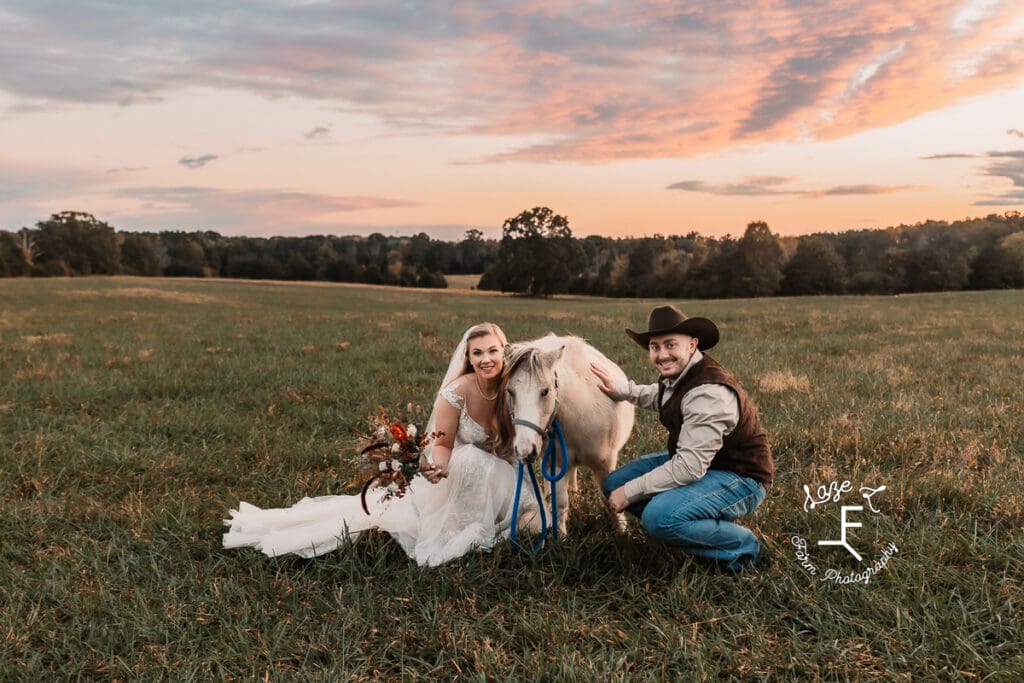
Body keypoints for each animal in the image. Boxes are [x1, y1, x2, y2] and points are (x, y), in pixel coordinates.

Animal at [501, 333, 634, 536]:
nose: (525, 450)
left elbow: (610, 499)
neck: (582, 411)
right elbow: (560, 501)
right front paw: (561, 536)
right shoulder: (555, 463)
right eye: (510, 391)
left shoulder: (605, 463)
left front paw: (623, 532)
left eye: (545, 391)